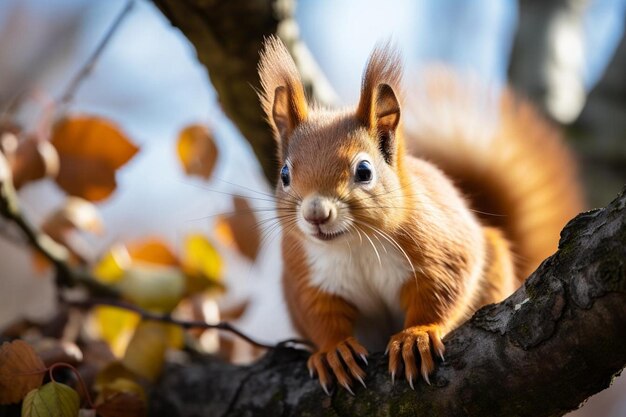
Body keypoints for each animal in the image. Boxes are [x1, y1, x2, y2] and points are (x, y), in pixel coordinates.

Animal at [254, 36, 580, 394]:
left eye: (364, 171)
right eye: (284, 174)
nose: (315, 214)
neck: (355, 245)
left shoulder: (440, 247)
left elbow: (440, 292)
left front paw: (415, 337)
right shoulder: (307, 275)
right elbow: (320, 315)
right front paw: (333, 351)